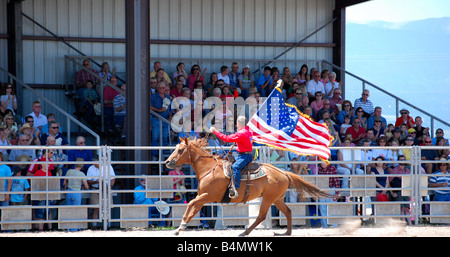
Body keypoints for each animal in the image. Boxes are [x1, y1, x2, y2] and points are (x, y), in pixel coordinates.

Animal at [165, 137, 330, 235]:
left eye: (180, 150)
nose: (167, 162)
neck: (209, 169)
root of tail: (283, 173)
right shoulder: (202, 197)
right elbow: (193, 210)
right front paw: (180, 228)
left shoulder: (208, 196)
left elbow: (190, 205)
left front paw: (180, 227)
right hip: (277, 198)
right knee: (288, 212)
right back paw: (286, 233)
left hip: (268, 198)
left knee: (262, 215)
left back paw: (244, 232)